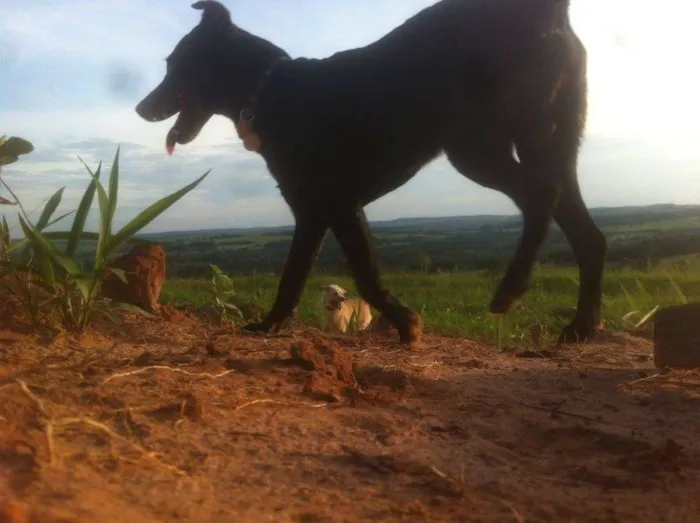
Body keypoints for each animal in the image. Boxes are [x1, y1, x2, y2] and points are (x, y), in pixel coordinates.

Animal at [137, 1, 608, 348]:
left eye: (176, 64)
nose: (141, 107)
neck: (269, 89)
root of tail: (544, 12)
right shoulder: (320, 211)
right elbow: (303, 276)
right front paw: (270, 325)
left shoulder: (334, 205)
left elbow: (356, 274)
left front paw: (405, 322)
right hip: (549, 144)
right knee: (588, 235)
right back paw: (580, 327)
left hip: (477, 146)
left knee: (541, 196)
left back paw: (512, 288)